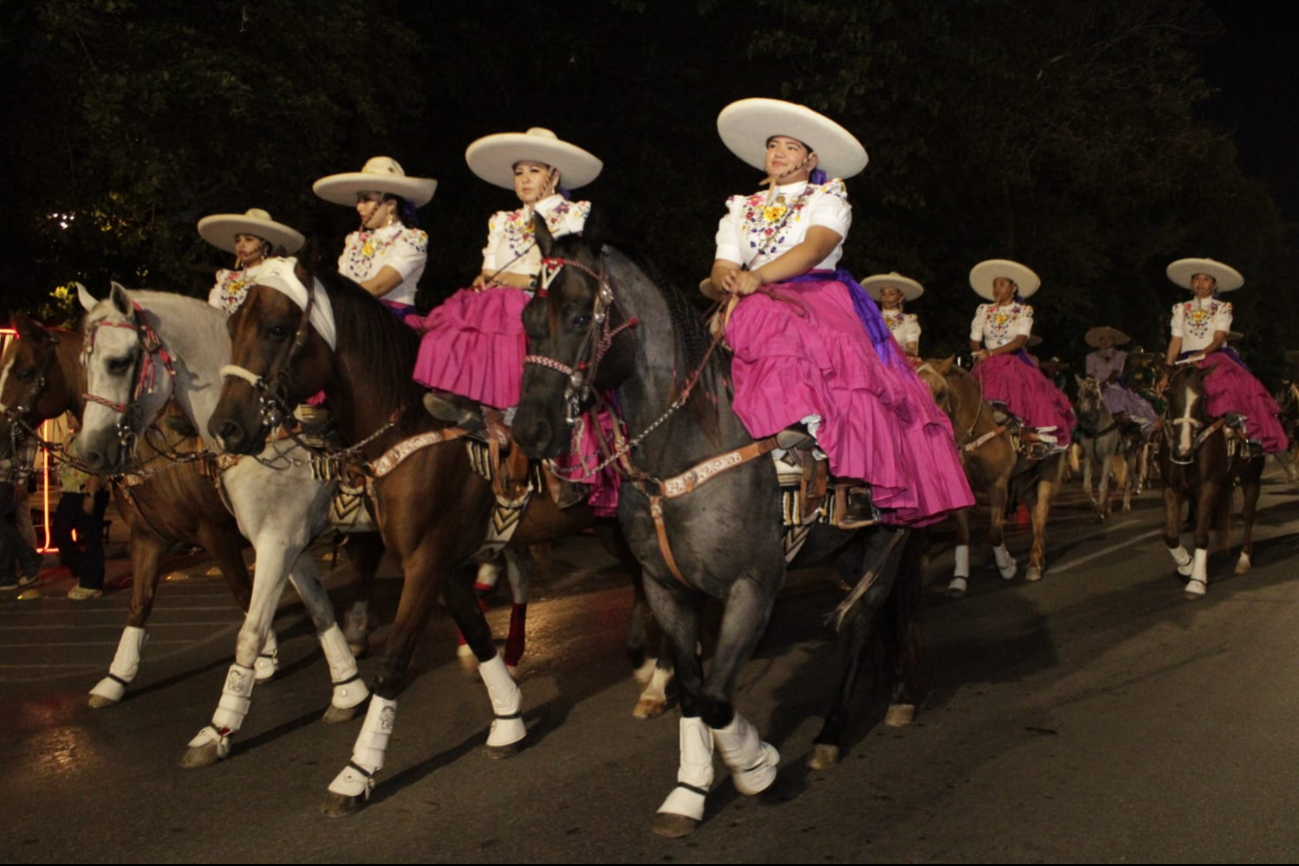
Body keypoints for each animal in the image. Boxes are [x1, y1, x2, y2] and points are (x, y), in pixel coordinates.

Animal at [207, 260, 665, 815]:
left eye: (276, 328)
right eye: (231, 328)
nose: (225, 428)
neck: (409, 427)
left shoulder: (415, 562)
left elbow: (393, 662)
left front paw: (356, 772)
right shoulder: (436, 562)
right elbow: (479, 635)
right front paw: (508, 721)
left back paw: (660, 680)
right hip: (608, 526)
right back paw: (646, 662)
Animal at [511, 216, 930, 841]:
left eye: (582, 316)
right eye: (528, 320)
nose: (529, 431)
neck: (683, 449)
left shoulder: (752, 589)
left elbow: (715, 699)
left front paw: (757, 767)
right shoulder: (666, 588)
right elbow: (691, 693)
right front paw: (688, 791)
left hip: (888, 540)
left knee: (862, 624)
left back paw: (833, 732)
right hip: (850, 548)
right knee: (878, 617)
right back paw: (893, 694)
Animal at [919, 358, 1059, 597]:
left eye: (940, 394)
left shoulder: (998, 485)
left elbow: (994, 532)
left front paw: (1007, 567)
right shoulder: (963, 489)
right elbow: (962, 534)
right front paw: (959, 580)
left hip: (1047, 469)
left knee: (1041, 510)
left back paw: (1033, 565)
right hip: (1022, 478)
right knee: (1033, 510)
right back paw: (1040, 556)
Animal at [1158, 363, 1257, 599]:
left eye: (1203, 396)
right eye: (1169, 394)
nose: (1183, 448)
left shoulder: (1207, 488)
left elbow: (1201, 534)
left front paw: (1196, 581)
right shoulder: (1171, 489)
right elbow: (1170, 534)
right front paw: (1186, 566)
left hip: (1251, 475)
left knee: (1248, 515)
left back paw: (1243, 559)